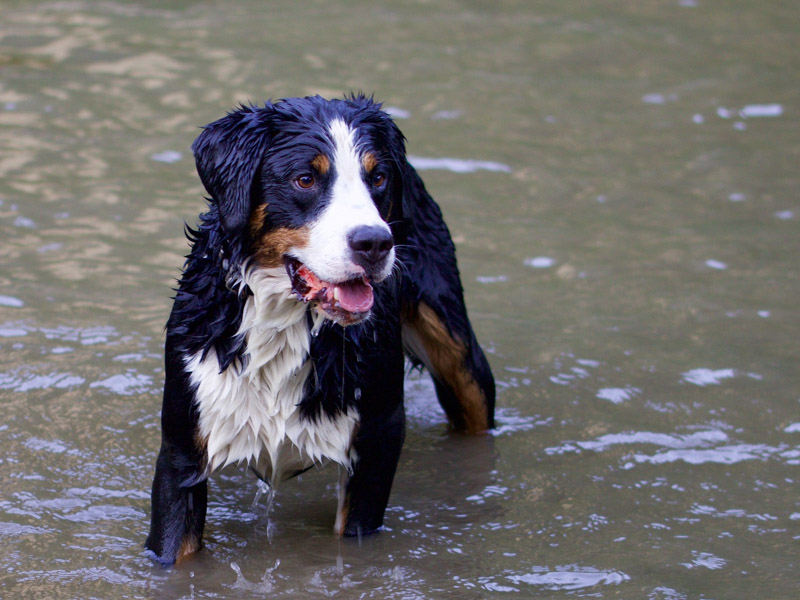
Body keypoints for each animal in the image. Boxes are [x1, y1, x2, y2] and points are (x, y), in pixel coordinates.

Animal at [145, 94, 494, 564]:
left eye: (377, 177)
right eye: (306, 179)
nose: (374, 242)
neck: (285, 324)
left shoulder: (377, 440)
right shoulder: (182, 451)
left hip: (460, 358)